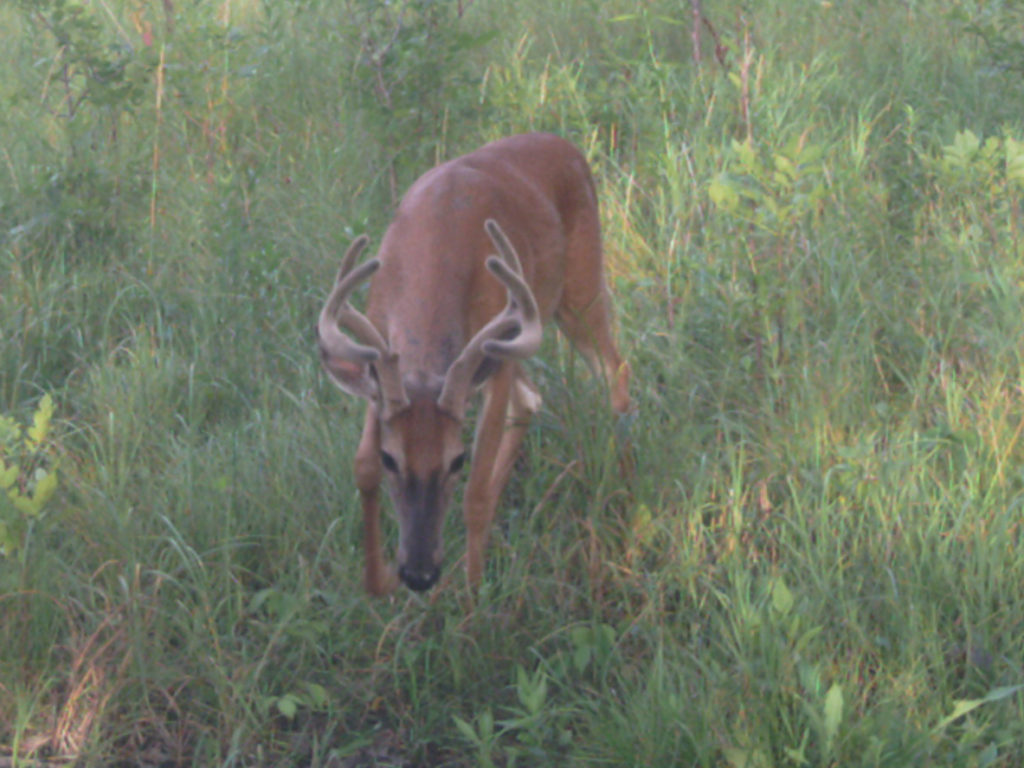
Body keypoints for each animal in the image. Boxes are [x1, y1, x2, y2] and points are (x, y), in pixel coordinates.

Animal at [317, 133, 631, 595]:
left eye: (456, 461)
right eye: (392, 458)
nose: (420, 574)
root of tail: (567, 145)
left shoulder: (493, 355)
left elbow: (476, 493)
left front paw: (472, 596)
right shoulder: (379, 352)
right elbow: (362, 468)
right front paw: (378, 582)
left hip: (578, 287)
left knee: (614, 370)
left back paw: (620, 474)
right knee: (532, 397)